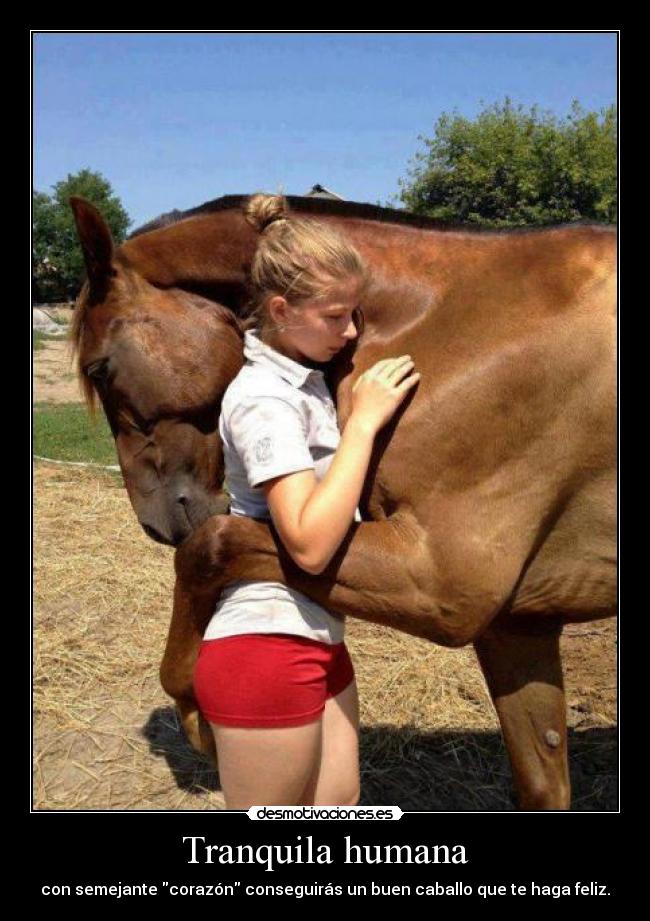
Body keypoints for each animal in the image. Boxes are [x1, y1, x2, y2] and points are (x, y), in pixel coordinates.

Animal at [70, 193, 616, 809]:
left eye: (99, 368)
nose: (155, 521)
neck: (458, 322)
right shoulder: (517, 624)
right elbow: (542, 776)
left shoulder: (443, 586)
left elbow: (209, 548)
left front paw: (194, 708)